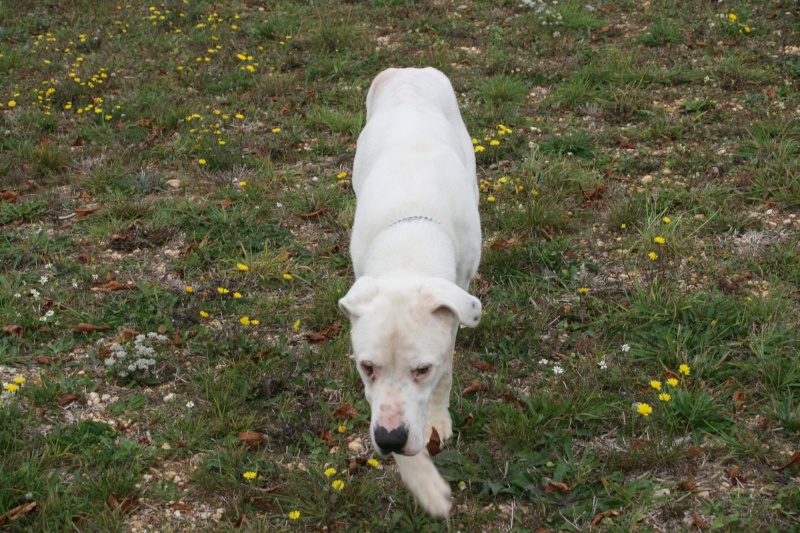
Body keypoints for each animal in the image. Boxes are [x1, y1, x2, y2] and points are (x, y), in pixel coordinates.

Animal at [338, 66, 482, 516]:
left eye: (423, 370)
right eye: (367, 367)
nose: (389, 440)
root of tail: (408, 71)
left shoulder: (457, 305)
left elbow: (447, 371)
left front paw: (436, 420)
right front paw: (423, 481)